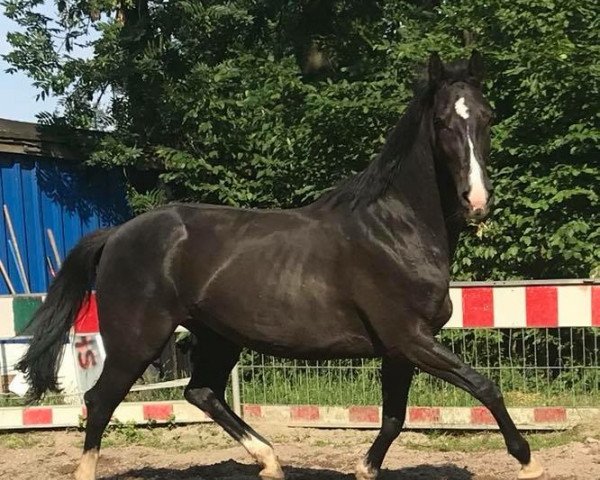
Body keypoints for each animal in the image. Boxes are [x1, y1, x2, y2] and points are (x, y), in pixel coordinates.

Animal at [18, 52, 548, 480]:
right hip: (137, 341)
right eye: (441, 121)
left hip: (217, 336)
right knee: (100, 401)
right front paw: (529, 462)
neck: (395, 230)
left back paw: (270, 461)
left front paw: (365, 467)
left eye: (487, 116)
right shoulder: (410, 339)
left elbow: (395, 417)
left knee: (201, 392)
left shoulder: (400, 349)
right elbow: (484, 385)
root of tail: (117, 234)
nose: (477, 201)